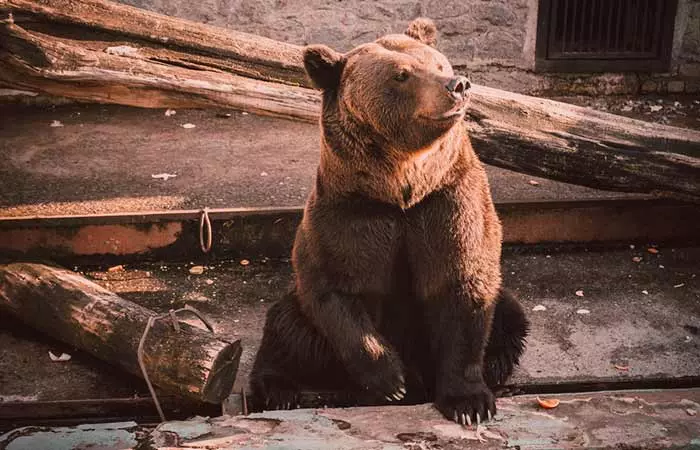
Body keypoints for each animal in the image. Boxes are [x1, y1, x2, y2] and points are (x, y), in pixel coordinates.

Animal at [250, 17, 529, 425]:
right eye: (402, 74)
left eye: (439, 63)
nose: (457, 84)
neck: (400, 189)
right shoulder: (351, 213)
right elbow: (333, 287)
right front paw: (393, 380)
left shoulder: (447, 203)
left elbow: (463, 286)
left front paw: (470, 403)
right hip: (304, 320)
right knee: (289, 326)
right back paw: (277, 390)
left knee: (509, 315)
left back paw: (492, 367)